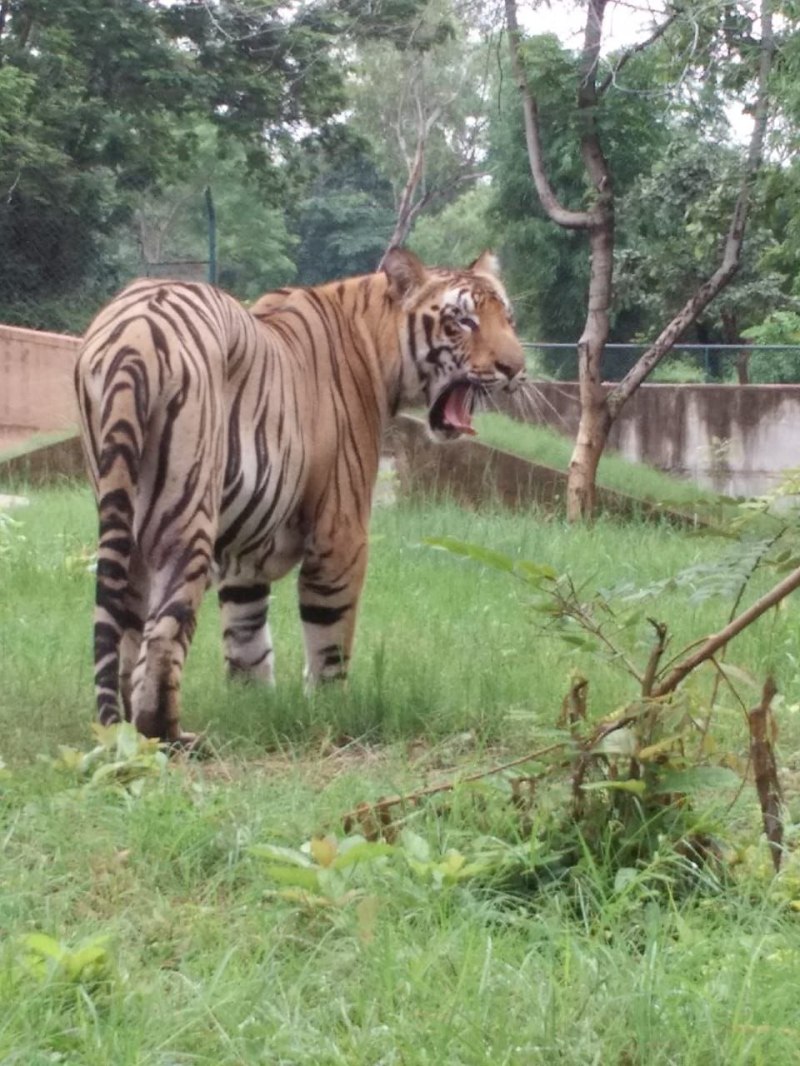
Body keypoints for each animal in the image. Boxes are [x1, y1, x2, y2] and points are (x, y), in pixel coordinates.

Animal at [74, 248, 526, 745]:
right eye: (462, 320)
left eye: (508, 318)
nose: (517, 369)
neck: (377, 341)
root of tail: (134, 335)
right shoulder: (341, 533)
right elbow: (330, 638)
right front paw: (330, 712)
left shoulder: (246, 556)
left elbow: (247, 637)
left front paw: (255, 706)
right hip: (185, 518)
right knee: (160, 640)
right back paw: (173, 739)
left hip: (124, 515)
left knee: (127, 637)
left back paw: (132, 734)